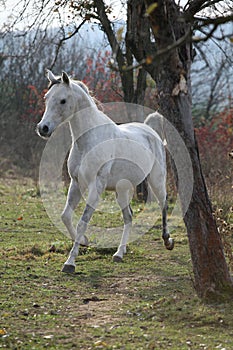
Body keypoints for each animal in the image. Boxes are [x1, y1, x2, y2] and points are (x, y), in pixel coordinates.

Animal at [36, 70, 174, 274]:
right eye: (46, 98)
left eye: (62, 100)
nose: (43, 128)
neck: (88, 141)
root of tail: (151, 131)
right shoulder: (76, 183)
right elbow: (66, 216)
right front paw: (84, 242)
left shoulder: (96, 186)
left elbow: (82, 222)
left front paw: (70, 263)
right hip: (122, 191)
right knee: (129, 217)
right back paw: (119, 253)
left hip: (156, 180)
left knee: (163, 204)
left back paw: (167, 240)